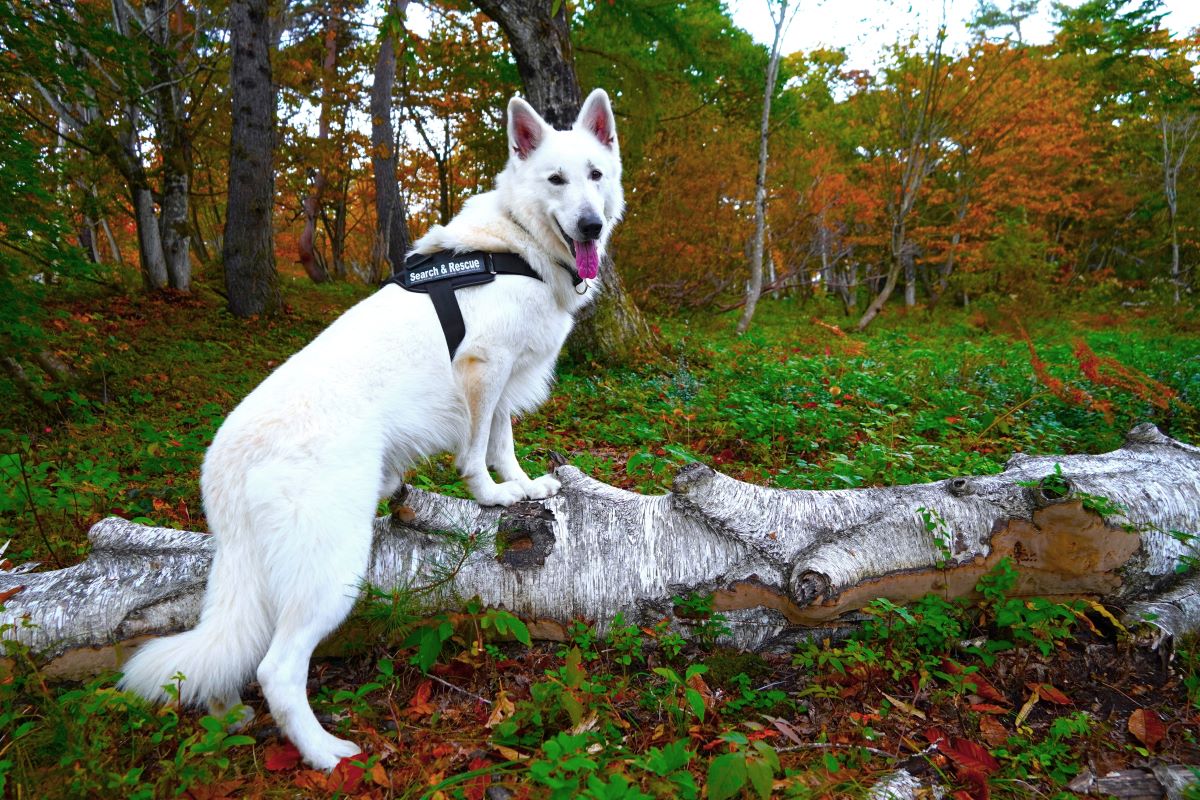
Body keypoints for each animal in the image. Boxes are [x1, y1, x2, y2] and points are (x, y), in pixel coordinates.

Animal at [119, 87, 628, 767]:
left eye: (595, 176)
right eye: (556, 180)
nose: (591, 225)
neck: (518, 241)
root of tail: (227, 460)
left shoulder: (507, 381)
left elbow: (503, 442)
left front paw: (521, 485)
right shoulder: (484, 369)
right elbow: (476, 450)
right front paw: (491, 496)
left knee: (227, 654)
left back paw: (228, 720)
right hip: (332, 569)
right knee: (277, 671)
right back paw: (327, 754)